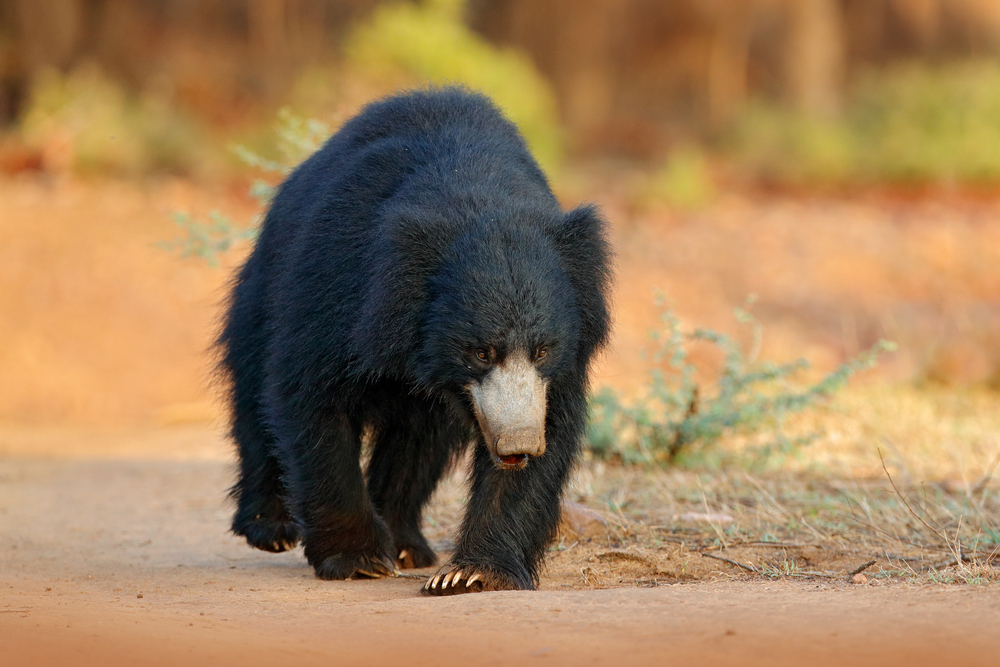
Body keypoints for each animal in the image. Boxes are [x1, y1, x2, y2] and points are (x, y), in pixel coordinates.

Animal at [219, 88, 608, 596]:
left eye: (543, 350)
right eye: (480, 352)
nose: (518, 445)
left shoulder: (563, 354)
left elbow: (553, 424)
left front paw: (471, 573)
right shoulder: (338, 291)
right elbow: (312, 399)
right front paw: (359, 559)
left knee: (418, 444)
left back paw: (406, 543)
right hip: (261, 291)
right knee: (253, 396)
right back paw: (271, 527)